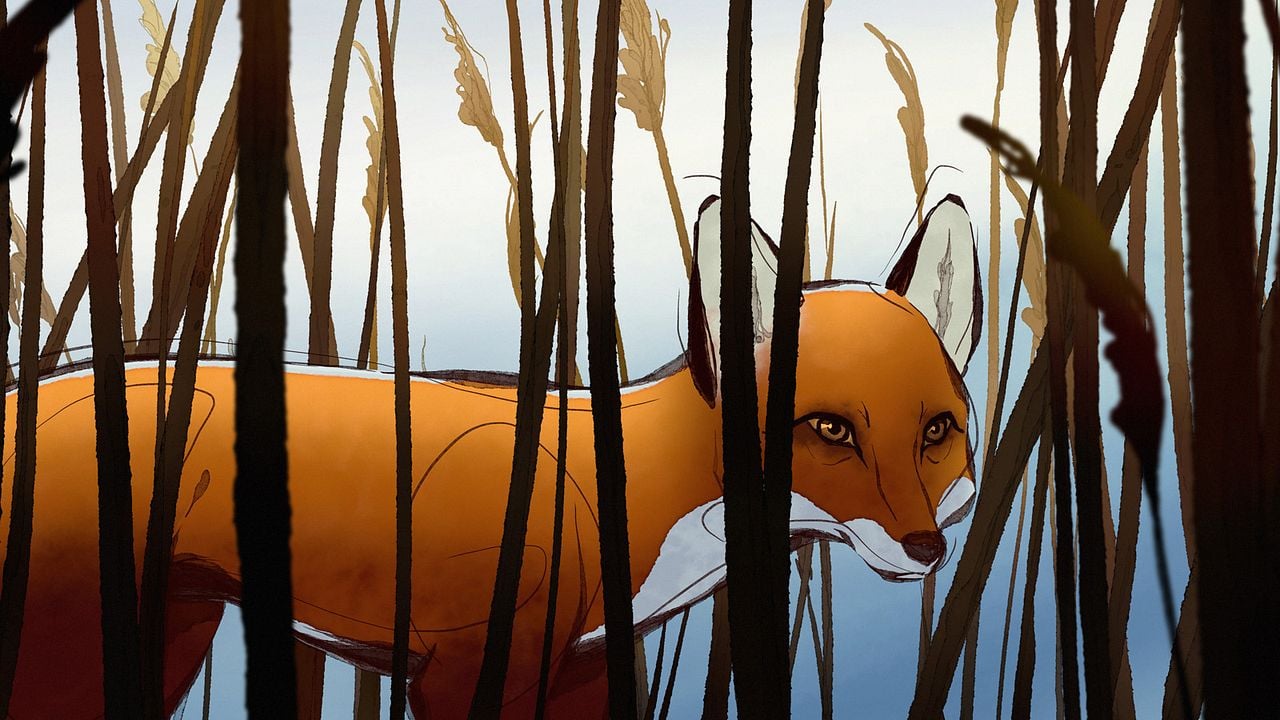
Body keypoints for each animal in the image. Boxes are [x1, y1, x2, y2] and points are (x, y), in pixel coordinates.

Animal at [0, 193, 980, 719]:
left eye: (937, 431)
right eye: (831, 431)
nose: (927, 548)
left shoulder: (577, 669)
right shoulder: (473, 666)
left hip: (163, 641)